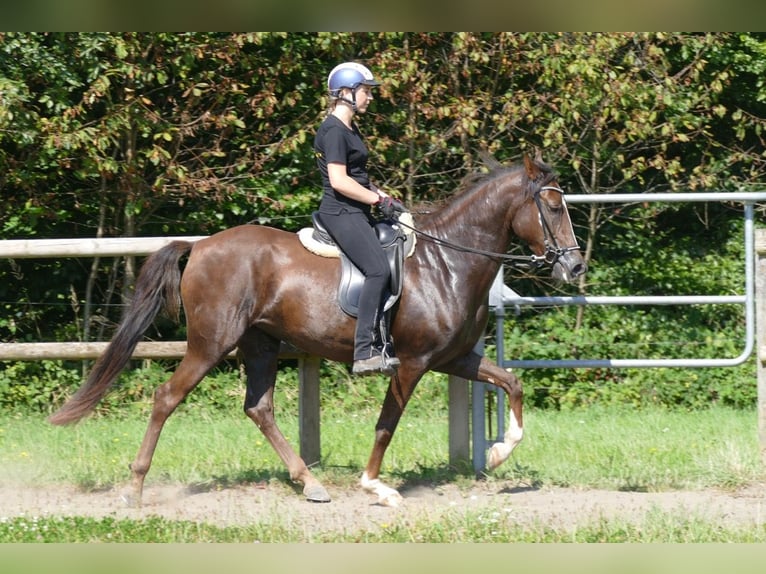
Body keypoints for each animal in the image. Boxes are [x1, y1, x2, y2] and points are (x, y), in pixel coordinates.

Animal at [48, 152, 588, 508]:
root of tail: (200, 246)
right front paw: (375, 486)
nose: (576, 267)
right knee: (167, 398)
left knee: (258, 408)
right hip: (211, 343)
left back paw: (309, 482)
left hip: (260, 344)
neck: (448, 263)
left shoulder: (454, 358)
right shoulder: (412, 363)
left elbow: (512, 383)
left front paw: (497, 454)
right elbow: (387, 423)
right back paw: (135, 488)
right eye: (553, 207)